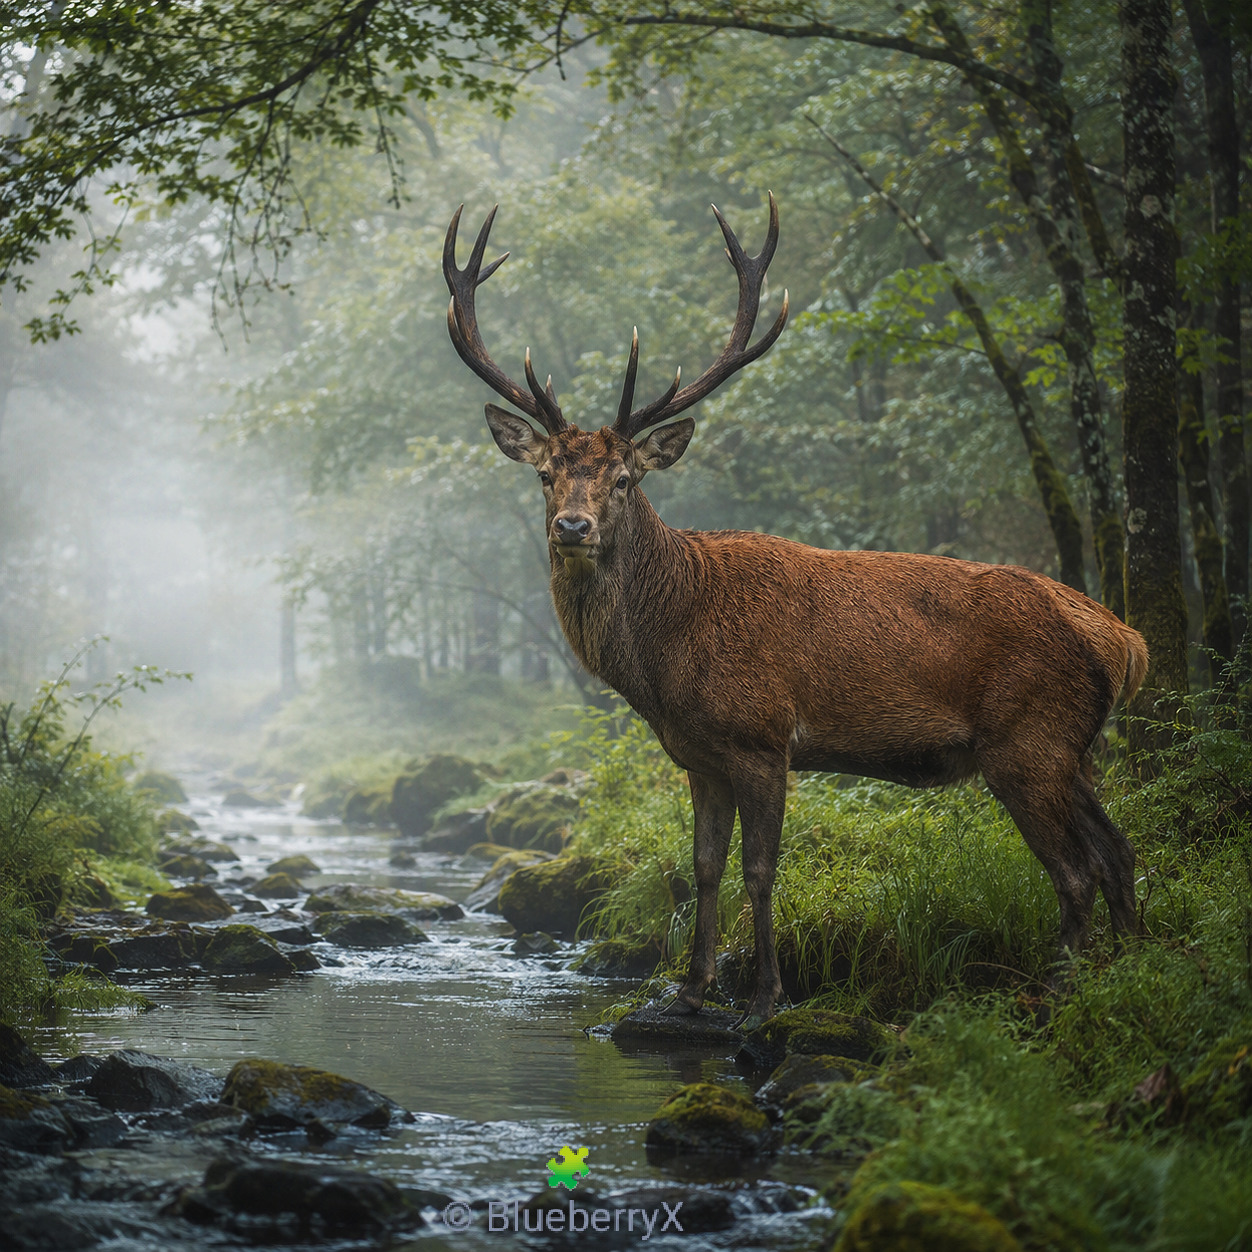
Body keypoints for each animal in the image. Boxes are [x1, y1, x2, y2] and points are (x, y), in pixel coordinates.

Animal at [443, 195, 1148, 1028]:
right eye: (546, 475)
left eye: (623, 479)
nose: (572, 527)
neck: (666, 658)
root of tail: (1123, 639)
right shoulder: (699, 756)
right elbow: (702, 866)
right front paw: (692, 987)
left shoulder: (761, 736)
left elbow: (759, 868)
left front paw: (764, 995)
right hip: (1076, 747)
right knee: (1119, 854)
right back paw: (1134, 971)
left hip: (1028, 738)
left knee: (1075, 870)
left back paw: (1058, 991)